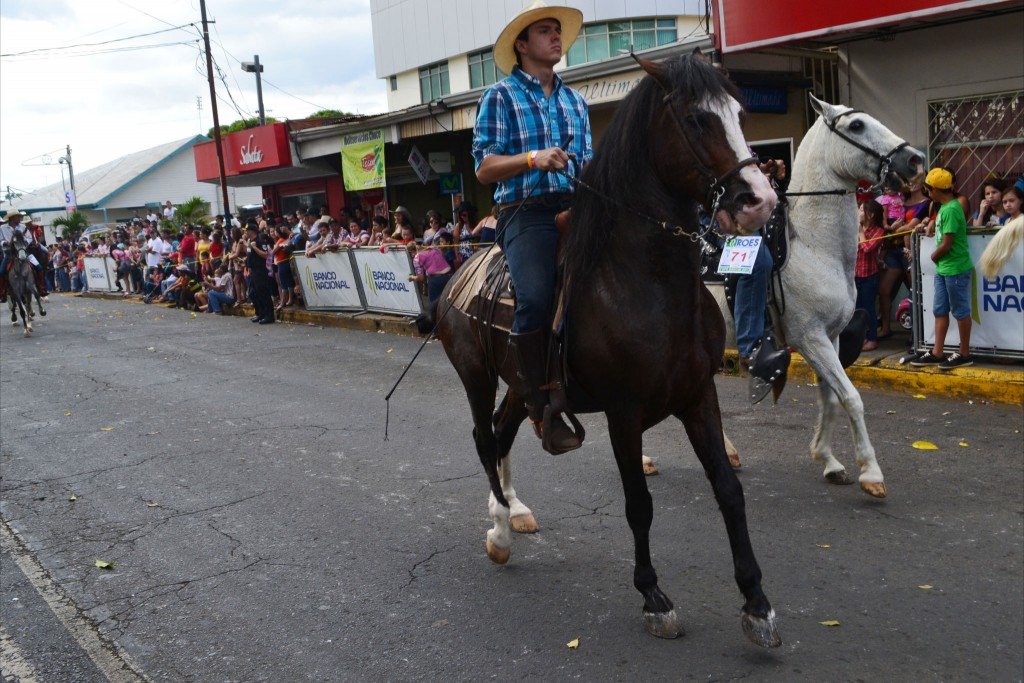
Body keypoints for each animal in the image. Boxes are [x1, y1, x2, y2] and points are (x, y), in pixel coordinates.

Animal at [724, 96, 925, 499]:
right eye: (857, 126)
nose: (914, 159)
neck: (815, 247)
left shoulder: (830, 337)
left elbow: (832, 399)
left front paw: (829, 461)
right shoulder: (810, 337)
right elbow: (852, 398)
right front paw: (871, 473)